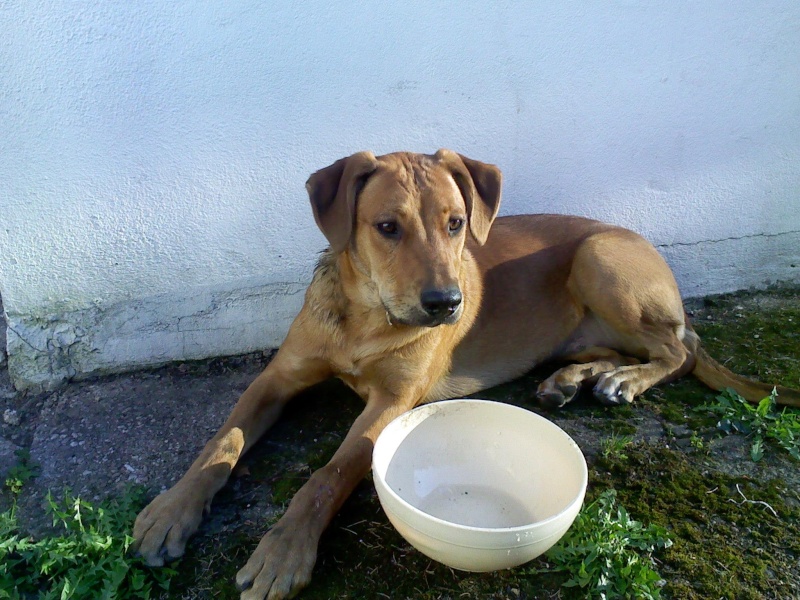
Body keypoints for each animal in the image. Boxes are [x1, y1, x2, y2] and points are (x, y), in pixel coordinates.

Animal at [133, 150, 800, 600]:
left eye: (456, 223)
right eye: (387, 227)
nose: (445, 304)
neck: (365, 317)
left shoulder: (391, 404)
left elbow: (327, 476)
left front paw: (284, 549)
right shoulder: (276, 379)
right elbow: (221, 443)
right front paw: (170, 513)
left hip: (601, 259)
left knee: (680, 352)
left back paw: (623, 381)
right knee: (638, 349)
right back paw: (576, 378)